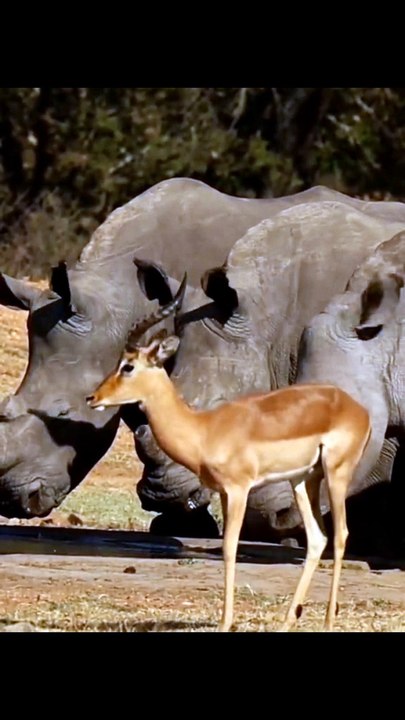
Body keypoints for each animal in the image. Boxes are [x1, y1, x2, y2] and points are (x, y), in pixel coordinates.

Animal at [86, 274, 371, 632]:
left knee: (341, 535)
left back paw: (329, 622)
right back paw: (287, 621)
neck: (204, 429)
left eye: (128, 366)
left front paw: (225, 622)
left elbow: (229, 548)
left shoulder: (238, 490)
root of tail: (357, 408)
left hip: (336, 474)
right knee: (317, 539)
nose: (93, 398)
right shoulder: (222, 493)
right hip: (304, 481)